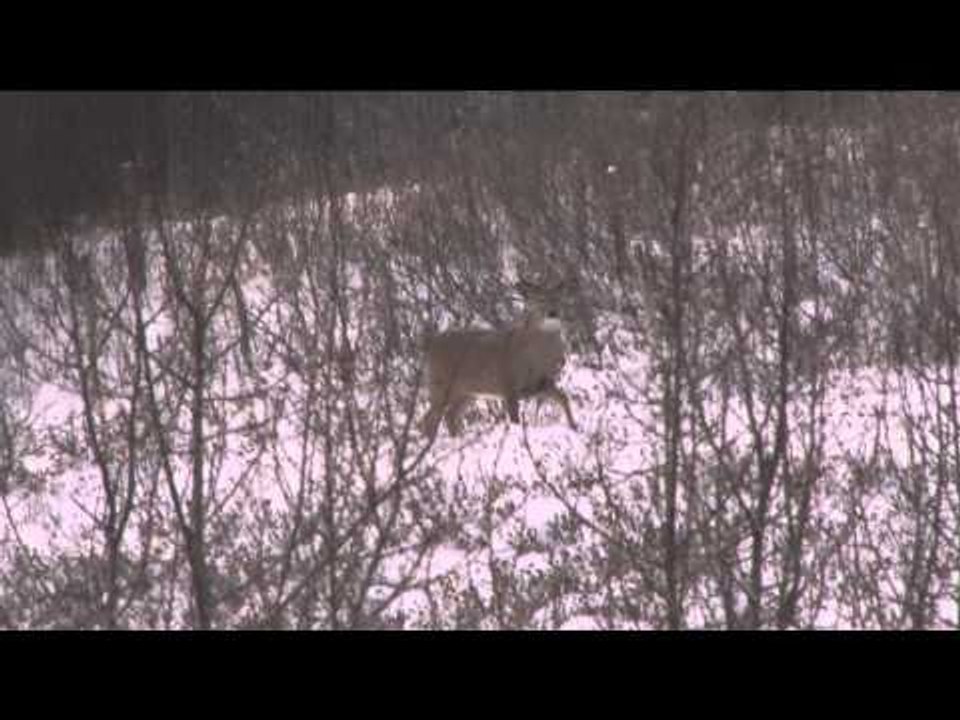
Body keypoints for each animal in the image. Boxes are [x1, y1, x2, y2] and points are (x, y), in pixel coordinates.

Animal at [419, 277, 578, 441]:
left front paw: (574, 426)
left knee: (449, 415)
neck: (537, 358)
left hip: (467, 391)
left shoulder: (543, 382)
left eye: (558, 298)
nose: (553, 312)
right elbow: (515, 419)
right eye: (539, 299)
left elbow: (564, 398)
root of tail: (430, 344)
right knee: (429, 418)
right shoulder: (509, 383)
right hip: (440, 383)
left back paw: (456, 439)